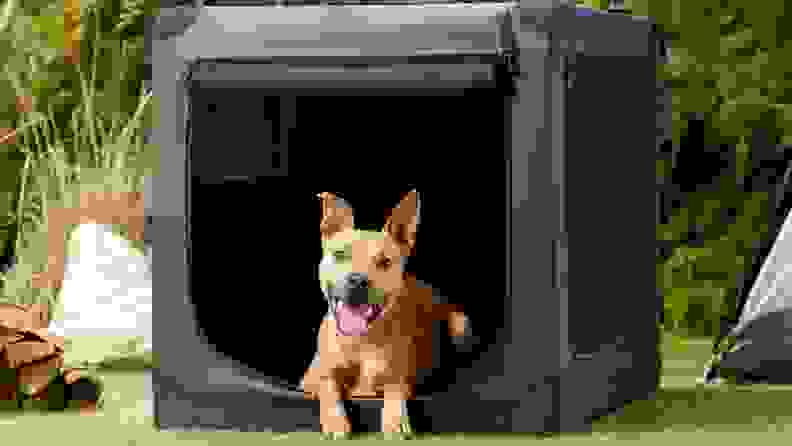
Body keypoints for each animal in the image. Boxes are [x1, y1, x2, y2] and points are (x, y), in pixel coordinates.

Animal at [298, 190, 470, 438]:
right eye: (340, 254)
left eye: (384, 261)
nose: (358, 280)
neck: (360, 341)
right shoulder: (310, 380)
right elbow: (327, 384)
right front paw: (335, 421)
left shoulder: (399, 377)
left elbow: (395, 386)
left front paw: (395, 420)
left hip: (461, 325)